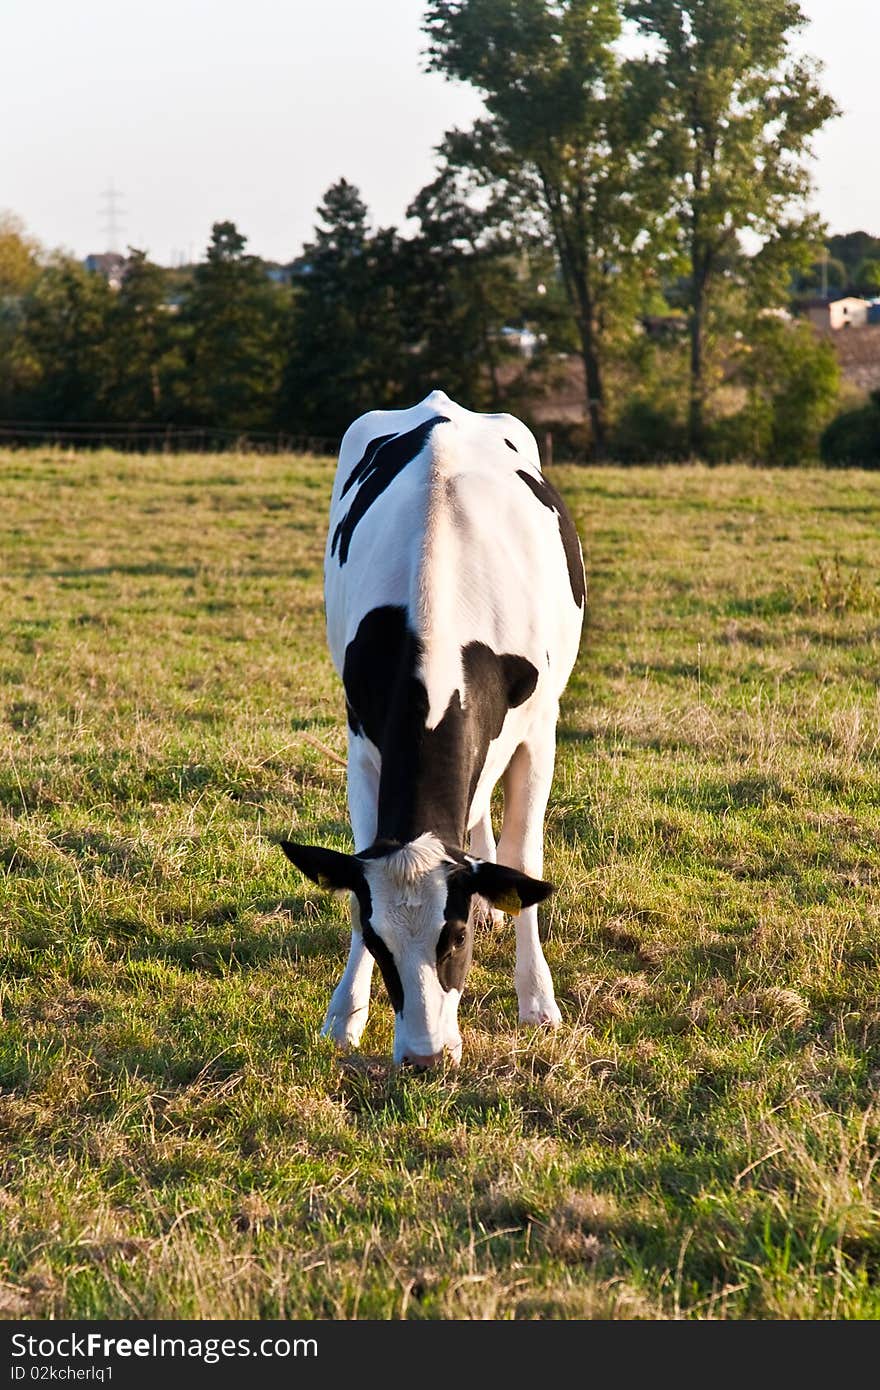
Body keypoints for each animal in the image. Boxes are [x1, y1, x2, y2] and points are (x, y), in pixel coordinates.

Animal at [280, 397, 583, 1067]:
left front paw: (538, 1001)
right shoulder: (362, 746)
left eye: (456, 936)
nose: (424, 1057)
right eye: (378, 940)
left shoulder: (539, 734)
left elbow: (524, 859)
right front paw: (345, 1014)